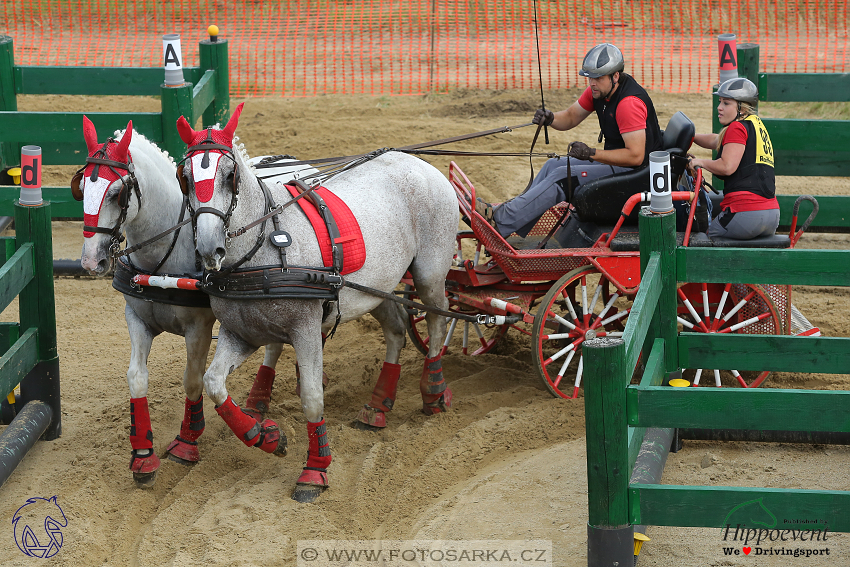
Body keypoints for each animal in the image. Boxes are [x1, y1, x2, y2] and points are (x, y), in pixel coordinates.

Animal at [72, 116, 304, 488]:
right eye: (80, 187)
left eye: (117, 193)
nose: (92, 261)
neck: (165, 252)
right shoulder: (136, 319)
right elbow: (136, 377)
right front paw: (143, 456)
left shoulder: (199, 327)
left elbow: (193, 380)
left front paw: (187, 441)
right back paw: (257, 402)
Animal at [176, 104, 460, 504]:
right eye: (184, 177)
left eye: (231, 176)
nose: (208, 248)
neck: (264, 251)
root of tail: (419, 163)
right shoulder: (240, 333)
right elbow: (214, 383)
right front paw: (263, 436)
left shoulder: (306, 331)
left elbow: (312, 398)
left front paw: (315, 469)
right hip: (376, 288)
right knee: (396, 330)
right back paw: (377, 405)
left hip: (430, 273)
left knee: (436, 322)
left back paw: (433, 390)